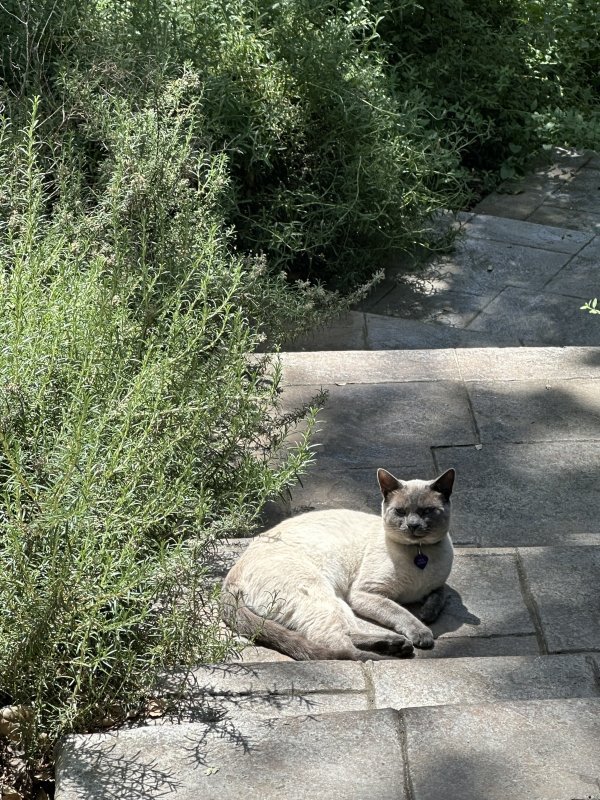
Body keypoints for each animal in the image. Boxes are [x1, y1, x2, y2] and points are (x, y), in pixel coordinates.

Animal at [221, 466, 454, 660]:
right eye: (401, 512)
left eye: (426, 511)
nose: (413, 526)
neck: (420, 553)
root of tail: (228, 579)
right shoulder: (366, 593)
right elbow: (400, 611)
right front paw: (422, 631)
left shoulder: (438, 585)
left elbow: (441, 594)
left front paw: (427, 613)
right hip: (325, 594)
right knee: (340, 646)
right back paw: (394, 651)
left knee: (345, 637)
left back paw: (395, 646)